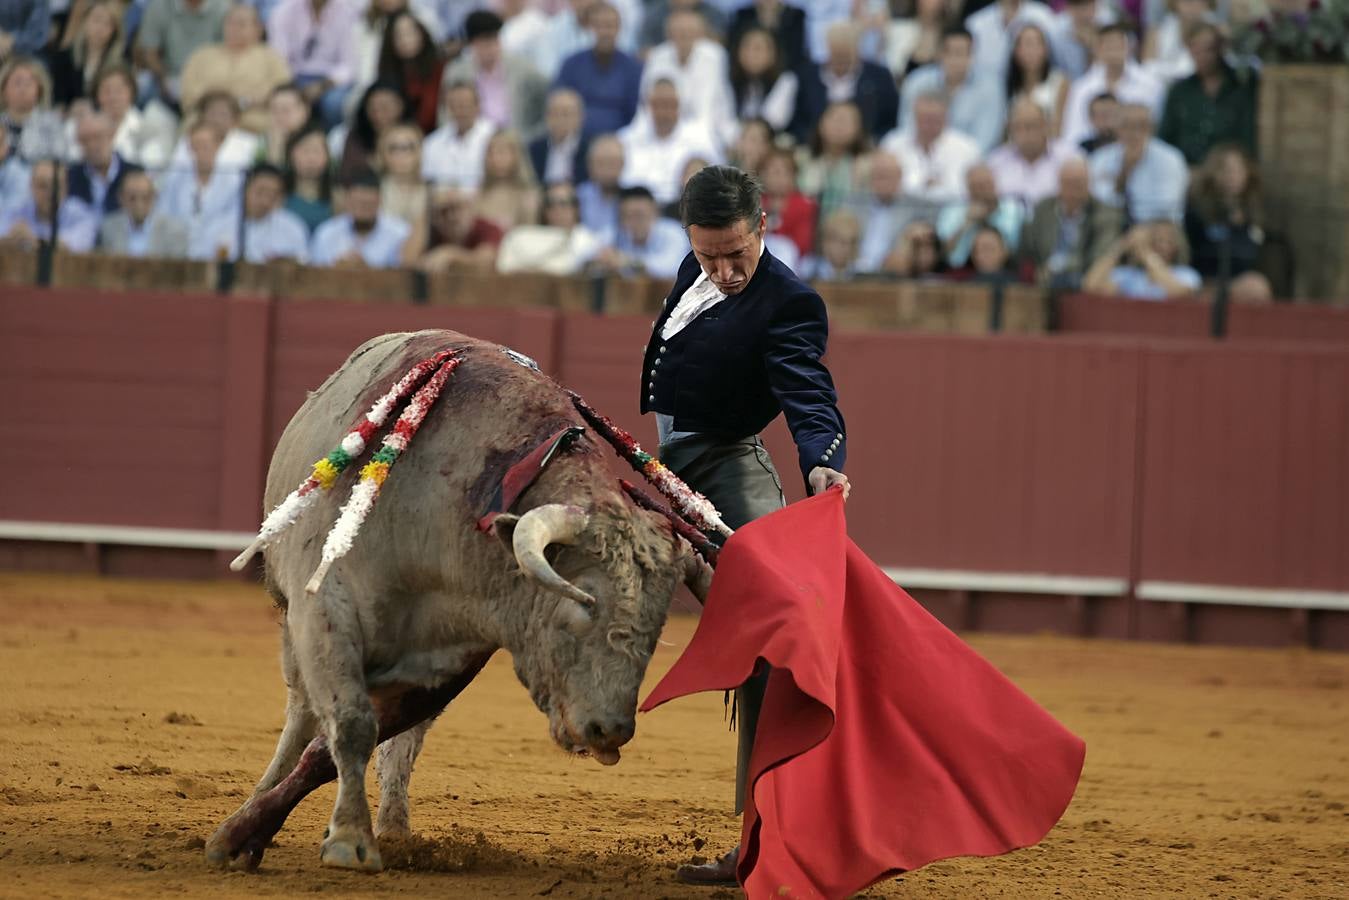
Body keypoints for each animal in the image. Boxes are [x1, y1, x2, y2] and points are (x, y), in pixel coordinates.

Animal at [205, 330, 712, 874]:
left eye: (656, 630)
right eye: (579, 605)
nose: (609, 729)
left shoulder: (448, 663)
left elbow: (339, 748)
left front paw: (284, 832)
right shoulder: (321, 613)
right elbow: (348, 724)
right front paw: (340, 839)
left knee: (397, 740)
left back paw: (394, 828)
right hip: (292, 625)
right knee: (300, 716)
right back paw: (263, 795)